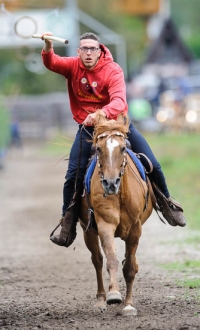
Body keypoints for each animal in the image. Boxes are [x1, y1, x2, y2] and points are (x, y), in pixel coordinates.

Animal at [79, 114, 152, 318]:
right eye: (98, 148)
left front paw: (128, 305)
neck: (120, 195)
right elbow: (111, 260)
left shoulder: (135, 228)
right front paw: (113, 295)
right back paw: (101, 300)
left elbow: (130, 268)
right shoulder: (105, 224)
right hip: (88, 231)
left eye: (123, 148)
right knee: (97, 260)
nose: (111, 183)